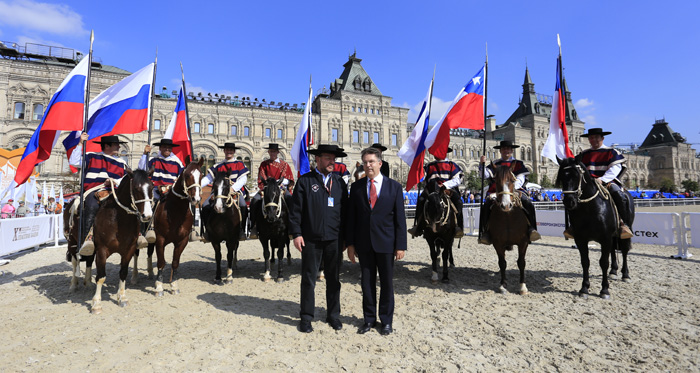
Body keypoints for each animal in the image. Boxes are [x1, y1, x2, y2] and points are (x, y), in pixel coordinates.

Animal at [87, 170, 154, 312]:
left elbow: (123, 272)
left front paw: (122, 298)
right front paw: (96, 303)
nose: (147, 215)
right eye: (136, 188)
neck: (119, 221)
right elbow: (101, 277)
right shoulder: (101, 250)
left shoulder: (129, 249)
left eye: (151, 187)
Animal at [131, 158, 204, 294]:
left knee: (149, 252)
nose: (196, 199)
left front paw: (174, 285)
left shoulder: (182, 240)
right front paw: (159, 286)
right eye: (187, 175)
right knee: (136, 254)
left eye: (201, 175)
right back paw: (134, 277)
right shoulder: (160, 239)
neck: (175, 211)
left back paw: (150, 273)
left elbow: (175, 262)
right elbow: (161, 262)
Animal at [486, 163, 532, 294]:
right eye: (496, 181)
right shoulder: (497, 243)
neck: (508, 218)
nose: (506, 205)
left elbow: (521, 262)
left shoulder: (523, 242)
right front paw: (503, 285)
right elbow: (502, 263)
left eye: (512, 180)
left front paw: (522, 286)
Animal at [556, 157, 636, 300]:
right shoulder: (581, 240)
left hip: (626, 230)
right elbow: (585, 262)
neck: (590, 210)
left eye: (577, 175)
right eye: (561, 177)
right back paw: (613, 271)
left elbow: (603, 262)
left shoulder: (605, 238)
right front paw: (584, 288)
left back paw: (625, 275)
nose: (569, 201)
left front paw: (604, 290)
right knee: (613, 250)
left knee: (625, 250)